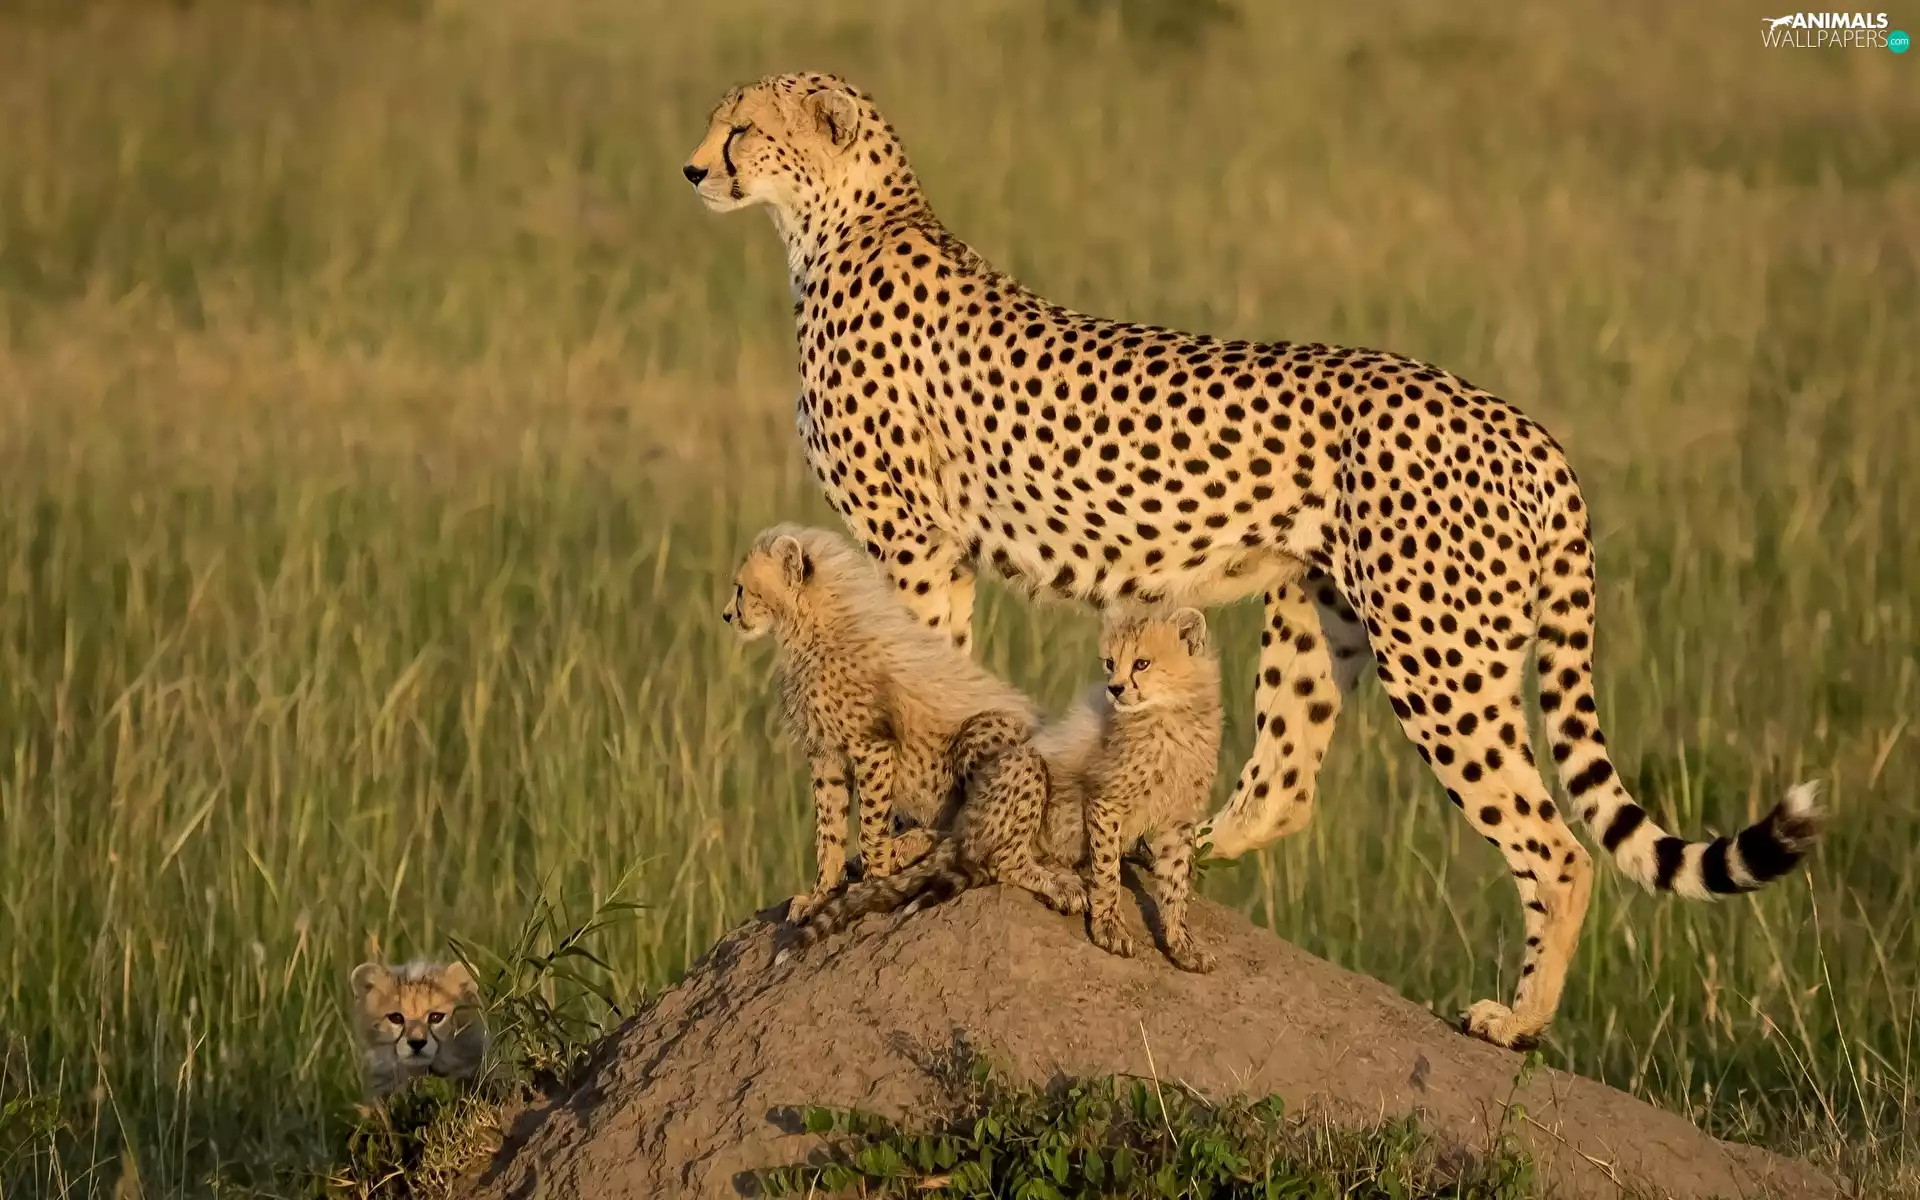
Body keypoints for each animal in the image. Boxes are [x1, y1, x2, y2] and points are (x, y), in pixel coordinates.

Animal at [723, 523, 1040, 922]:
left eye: (740, 588)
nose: (727, 616)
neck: (810, 627)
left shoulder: (871, 747)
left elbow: (871, 826)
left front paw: (872, 883)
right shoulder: (826, 753)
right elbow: (829, 828)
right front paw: (821, 893)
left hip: (988, 731)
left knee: (972, 833)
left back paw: (908, 847)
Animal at [779, 606, 1223, 974]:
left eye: (1142, 663)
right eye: (1111, 662)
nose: (1114, 688)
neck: (1171, 716)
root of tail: (967, 822)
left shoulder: (1179, 821)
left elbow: (1176, 884)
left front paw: (1181, 945)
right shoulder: (1106, 802)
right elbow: (1108, 869)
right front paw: (1109, 925)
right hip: (1022, 768)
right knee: (1002, 860)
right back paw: (1058, 884)